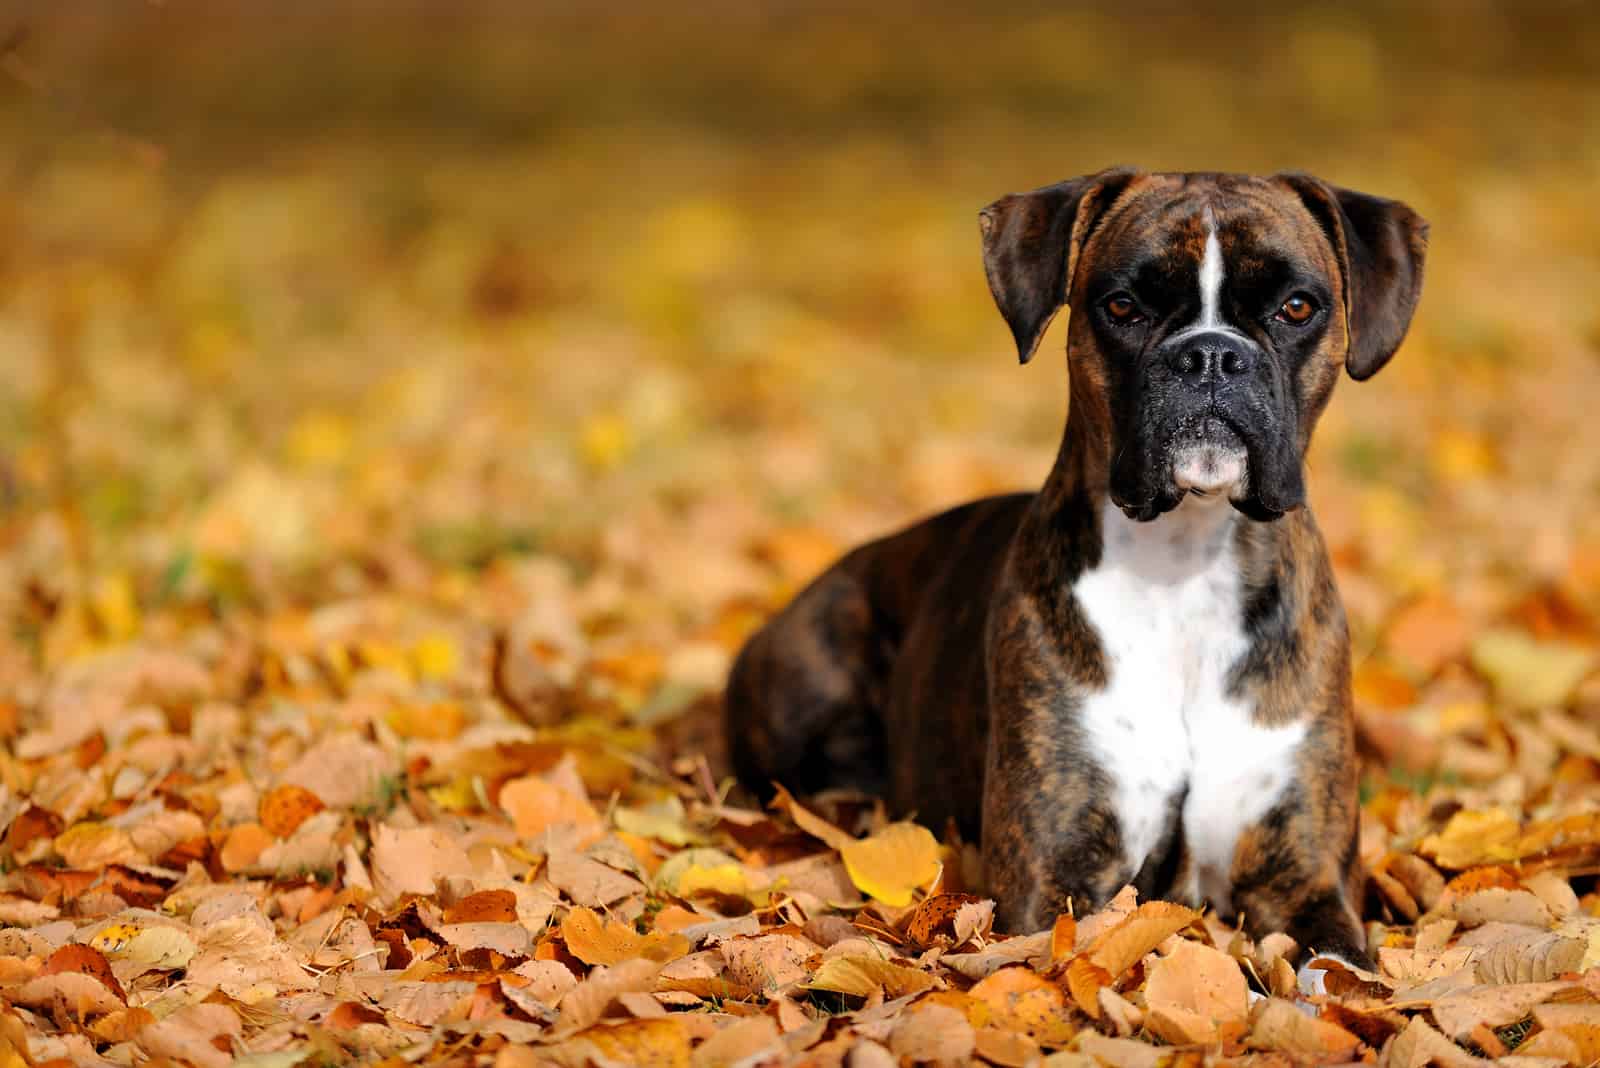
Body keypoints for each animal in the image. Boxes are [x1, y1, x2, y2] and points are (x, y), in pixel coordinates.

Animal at [726, 164, 1427, 978]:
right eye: (1122, 306)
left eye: (1296, 307)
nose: (1211, 355)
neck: (1186, 562)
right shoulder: (1054, 884)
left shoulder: (1308, 881)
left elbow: (1337, 972)